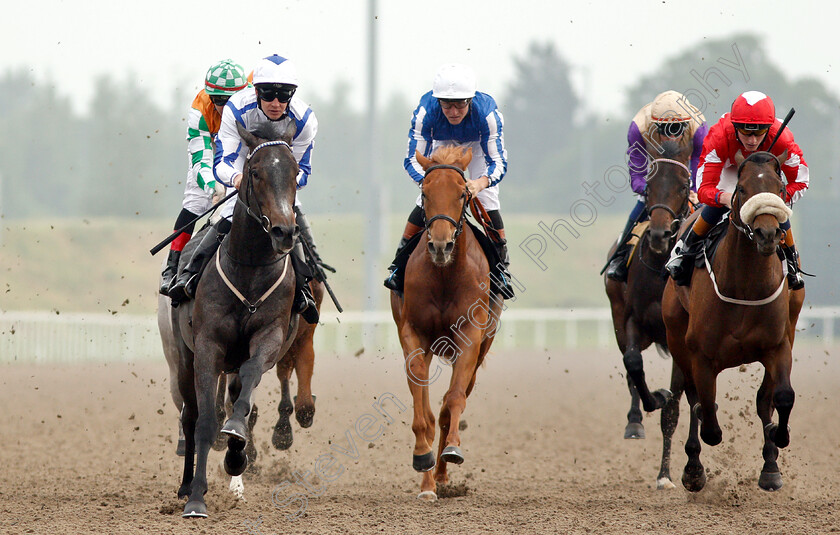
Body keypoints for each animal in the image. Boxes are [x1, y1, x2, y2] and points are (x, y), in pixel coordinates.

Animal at [175, 121, 308, 520]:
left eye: (294, 173)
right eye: (256, 172)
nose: (283, 231)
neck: (249, 268)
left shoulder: (269, 338)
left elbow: (244, 397)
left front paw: (235, 447)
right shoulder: (207, 347)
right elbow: (205, 421)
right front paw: (196, 499)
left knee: (238, 395)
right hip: (182, 357)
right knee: (189, 415)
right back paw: (185, 486)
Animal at [388, 146, 502, 502]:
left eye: (463, 193)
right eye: (424, 193)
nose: (441, 246)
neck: (444, 276)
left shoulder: (470, 335)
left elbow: (452, 401)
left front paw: (451, 450)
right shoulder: (413, 334)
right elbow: (421, 408)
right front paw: (422, 461)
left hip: (482, 350)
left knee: (451, 404)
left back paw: (441, 474)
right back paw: (429, 480)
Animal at [664, 149, 808, 492]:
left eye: (780, 190)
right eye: (741, 189)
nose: (767, 234)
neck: (745, 285)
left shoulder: (778, 346)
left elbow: (781, 397)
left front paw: (778, 439)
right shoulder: (700, 355)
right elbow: (706, 412)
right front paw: (695, 464)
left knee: (764, 401)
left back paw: (770, 466)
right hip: (676, 336)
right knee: (693, 398)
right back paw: (693, 469)